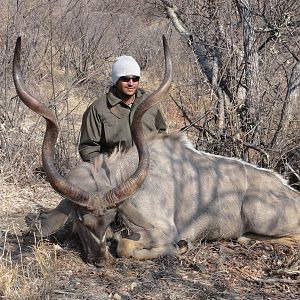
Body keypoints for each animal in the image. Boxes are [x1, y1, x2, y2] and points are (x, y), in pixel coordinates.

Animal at [13, 37, 300, 264]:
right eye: (82, 220)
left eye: (110, 218)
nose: (99, 260)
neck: (120, 172)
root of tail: (290, 193)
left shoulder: (162, 229)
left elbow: (125, 245)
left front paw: (181, 246)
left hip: (256, 213)